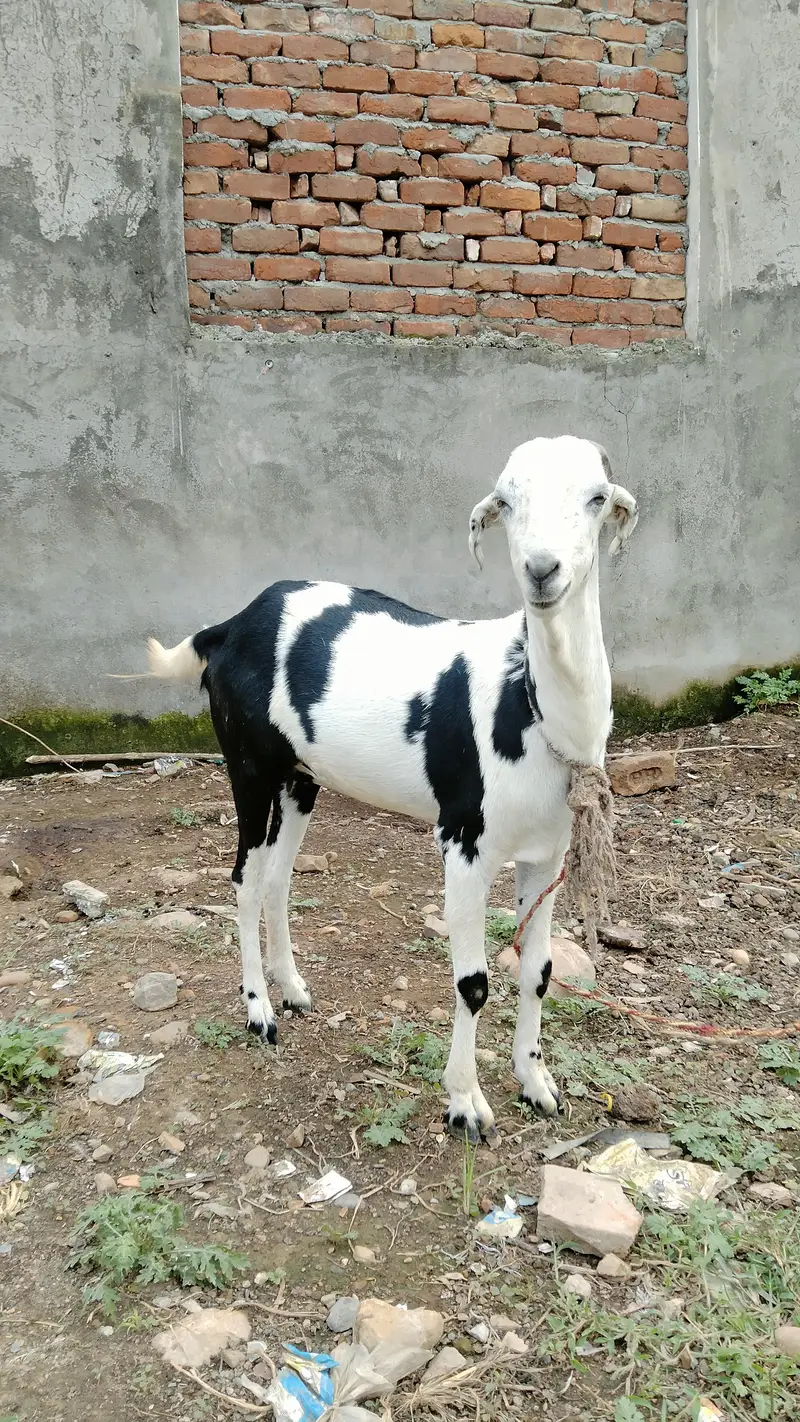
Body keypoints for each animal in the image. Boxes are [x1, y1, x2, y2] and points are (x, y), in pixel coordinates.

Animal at [147, 435, 637, 1141]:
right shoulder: (464, 842)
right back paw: (258, 1010)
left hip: (300, 781)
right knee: (243, 878)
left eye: (596, 498)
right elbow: (473, 981)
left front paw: (536, 1083)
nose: (542, 571)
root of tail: (232, 625)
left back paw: (292, 989)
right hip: (250, 767)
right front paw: (465, 1104)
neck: (528, 698)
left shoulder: (547, 854)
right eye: (506, 500)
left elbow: (539, 971)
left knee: (276, 880)